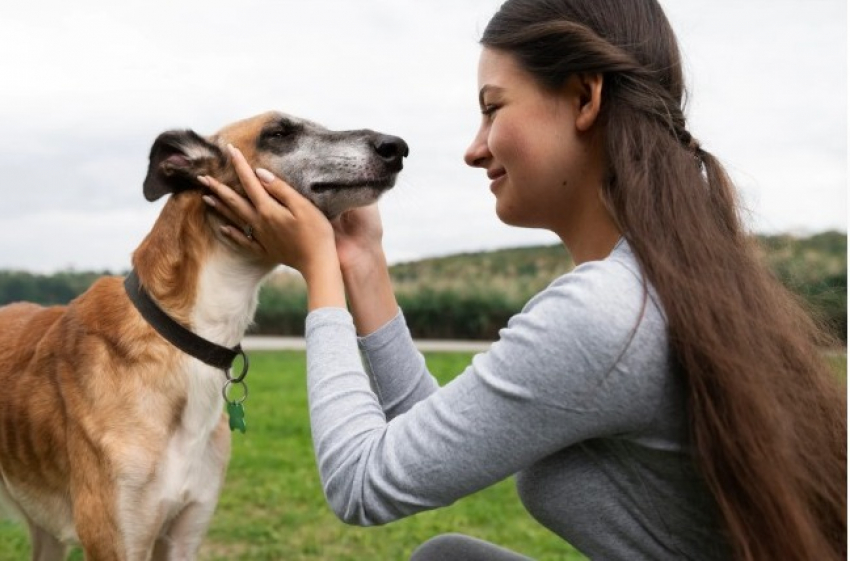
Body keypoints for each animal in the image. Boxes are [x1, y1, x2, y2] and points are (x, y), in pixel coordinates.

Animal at [0, 110, 408, 560]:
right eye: (278, 132)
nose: (396, 147)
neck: (180, 339)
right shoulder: (119, 540)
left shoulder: (184, 534)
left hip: (47, 533)